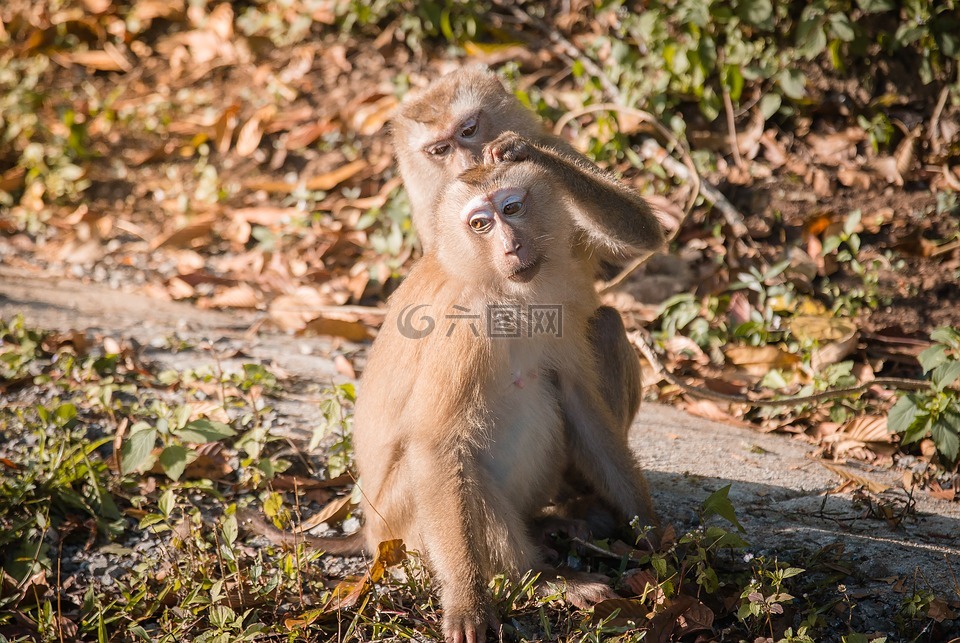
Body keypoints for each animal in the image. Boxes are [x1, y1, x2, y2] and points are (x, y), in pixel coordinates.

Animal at [352, 146, 660, 643]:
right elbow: (437, 445)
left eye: (512, 208)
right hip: (402, 533)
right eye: (481, 224)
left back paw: (562, 523)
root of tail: (370, 533)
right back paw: (542, 576)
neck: (504, 291)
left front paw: (651, 534)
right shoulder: (464, 328)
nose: (511, 245)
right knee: (463, 463)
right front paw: (467, 602)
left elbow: (580, 404)